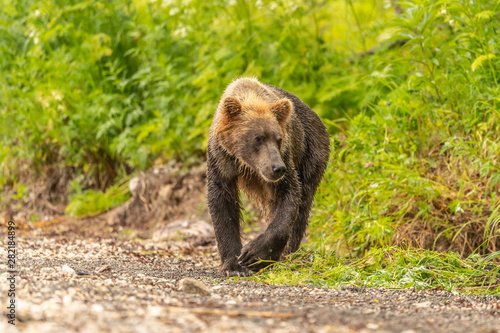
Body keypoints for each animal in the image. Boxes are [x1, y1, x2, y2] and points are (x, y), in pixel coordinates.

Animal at [206, 76, 328, 276]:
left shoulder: (286, 156)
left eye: (278, 139)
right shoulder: (221, 158)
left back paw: (286, 254)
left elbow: (289, 195)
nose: (278, 168)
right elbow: (222, 201)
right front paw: (233, 265)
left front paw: (254, 254)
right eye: (258, 138)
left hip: (312, 151)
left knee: (302, 206)